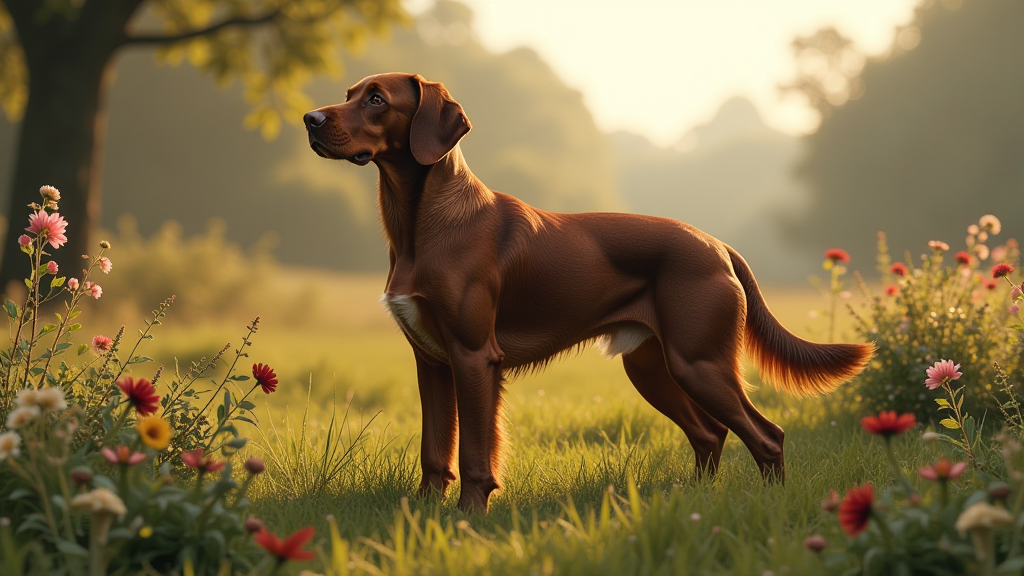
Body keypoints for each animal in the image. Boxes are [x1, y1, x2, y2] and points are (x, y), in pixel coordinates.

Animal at [301, 73, 872, 508]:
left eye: (377, 99)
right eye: (350, 93)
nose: (310, 119)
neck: (421, 228)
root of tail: (716, 244)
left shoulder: (473, 356)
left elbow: (475, 456)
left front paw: (466, 519)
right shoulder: (432, 361)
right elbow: (435, 451)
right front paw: (421, 516)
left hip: (699, 362)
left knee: (766, 435)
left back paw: (771, 503)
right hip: (652, 368)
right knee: (711, 434)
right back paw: (691, 500)